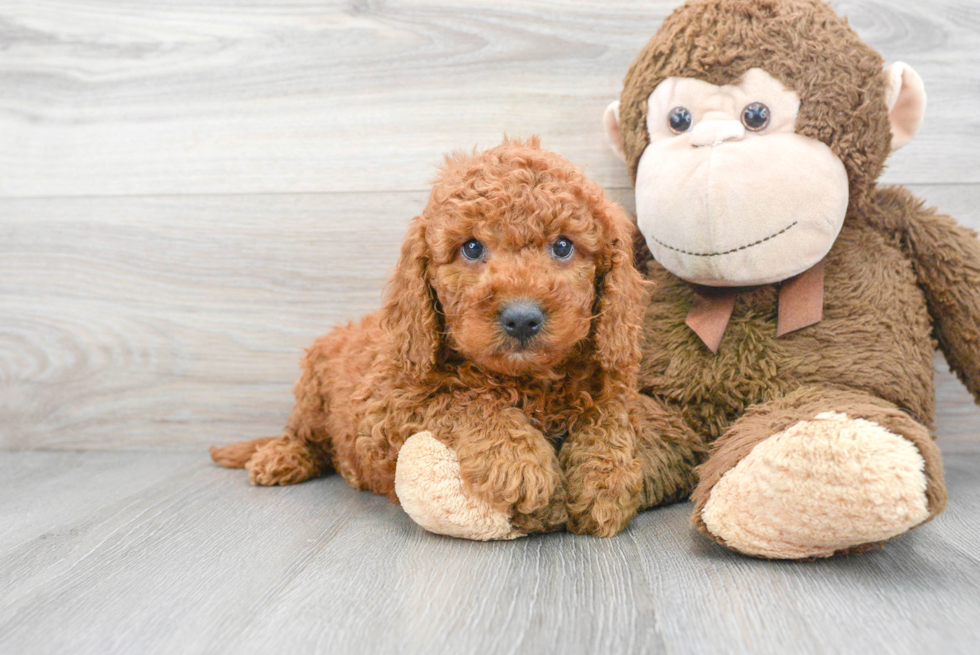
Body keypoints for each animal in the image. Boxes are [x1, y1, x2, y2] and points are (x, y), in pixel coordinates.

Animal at [211, 137, 648, 540]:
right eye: (471, 247)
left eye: (562, 246)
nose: (522, 318)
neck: (526, 380)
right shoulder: (386, 403)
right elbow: (462, 398)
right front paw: (519, 460)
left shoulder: (610, 380)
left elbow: (607, 415)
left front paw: (603, 483)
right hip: (312, 393)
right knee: (303, 435)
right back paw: (280, 456)